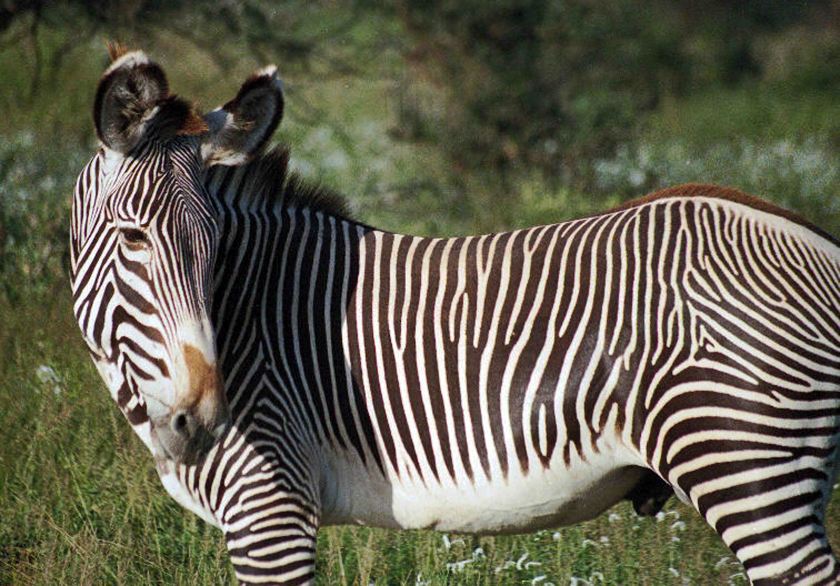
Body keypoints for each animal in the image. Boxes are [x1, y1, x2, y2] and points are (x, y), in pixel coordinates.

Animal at [69, 47, 840, 585]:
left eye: (215, 245)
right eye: (134, 238)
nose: (203, 417)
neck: (244, 311)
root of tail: (811, 237)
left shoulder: (272, 502)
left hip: (743, 460)